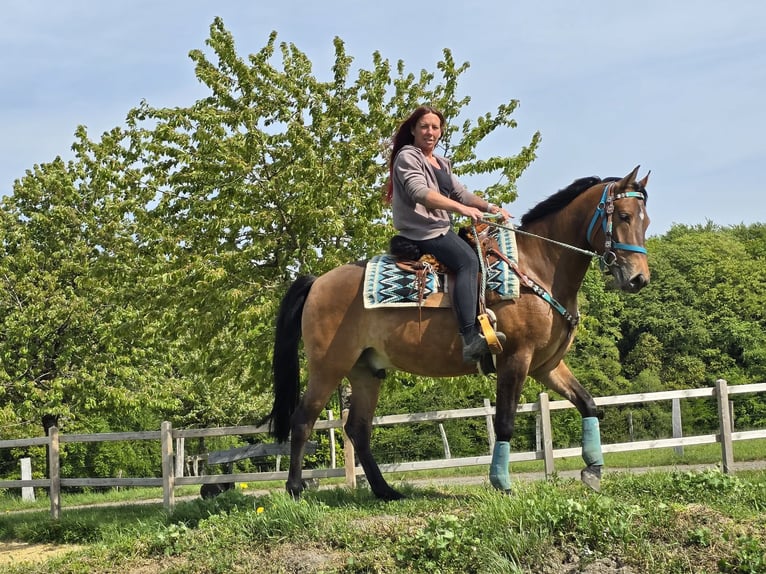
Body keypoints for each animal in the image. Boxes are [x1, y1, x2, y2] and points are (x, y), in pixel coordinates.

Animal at [269, 165, 650, 500]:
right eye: (624, 216)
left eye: (645, 220)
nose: (639, 279)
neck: (536, 267)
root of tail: (317, 282)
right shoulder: (516, 359)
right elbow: (505, 421)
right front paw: (501, 483)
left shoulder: (546, 366)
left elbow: (588, 404)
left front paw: (593, 470)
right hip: (328, 367)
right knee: (302, 420)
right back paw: (295, 489)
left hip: (365, 371)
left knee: (357, 429)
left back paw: (385, 491)